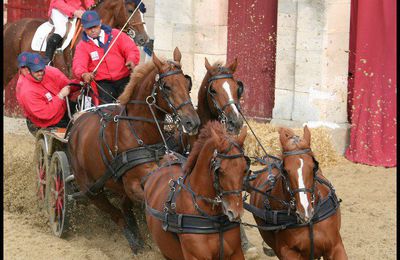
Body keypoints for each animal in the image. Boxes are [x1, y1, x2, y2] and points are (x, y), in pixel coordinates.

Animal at [67, 48, 202, 254]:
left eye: (187, 83)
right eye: (167, 86)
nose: (192, 122)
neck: (140, 133)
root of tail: (76, 123)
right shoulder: (132, 184)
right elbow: (148, 203)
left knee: (124, 208)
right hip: (91, 190)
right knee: (116, 214)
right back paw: (134, 241)